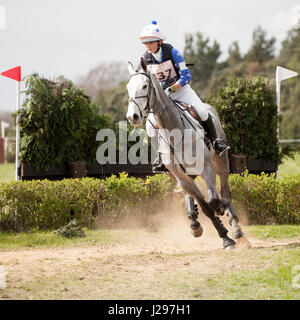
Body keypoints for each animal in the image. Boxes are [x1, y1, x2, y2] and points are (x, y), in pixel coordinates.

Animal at [126, 58, 248, 250]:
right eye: (128, 87)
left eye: (145, 86)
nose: (133, 116)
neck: (174, 133)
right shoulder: (182, 178)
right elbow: (206, 207)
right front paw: (223, 236)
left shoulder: (207, 168)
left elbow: (214, 201)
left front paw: (223, 219)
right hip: (181, 177)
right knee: (194, 196)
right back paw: (196, 222)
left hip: (220, 162)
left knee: (225, 190)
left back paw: (235, 226)